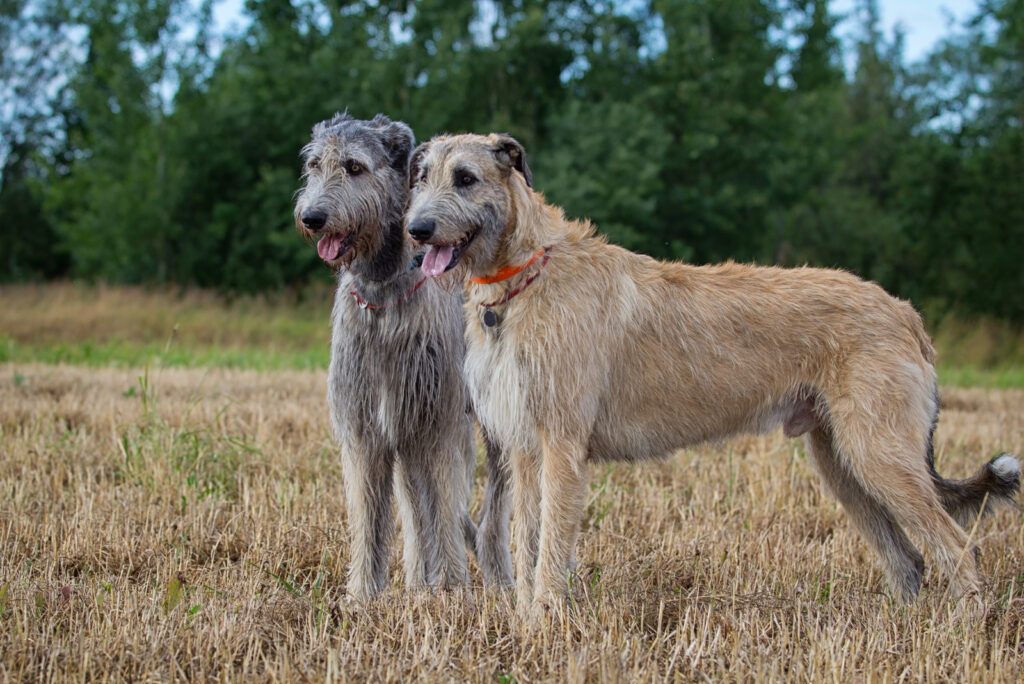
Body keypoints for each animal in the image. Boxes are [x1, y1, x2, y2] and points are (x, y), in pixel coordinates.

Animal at [292, 112, 512, 597]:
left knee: (494, 504)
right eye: (314, 165)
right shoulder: (367, 426)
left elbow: (445, 506)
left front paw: (452, 589)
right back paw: (417, 579)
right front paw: (363, 594)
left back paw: (499, 573)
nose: (312, 217)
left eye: (354, 167)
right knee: (416, 506)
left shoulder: (440, 422)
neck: (381, 294)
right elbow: (370, 515)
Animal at [403, 132, 1019, 614]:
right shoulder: (528, 450)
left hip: (879, 452)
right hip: (842, 462)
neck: (525, 275)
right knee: (909, 558)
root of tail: (906, 313)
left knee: (958, 544)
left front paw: (546, 621)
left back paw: (963, 629)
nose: (416, 230)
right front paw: (530, 617)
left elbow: (551, 544)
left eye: (465, 178)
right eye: (421, 177)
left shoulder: (561, 445)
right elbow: (528, 542)